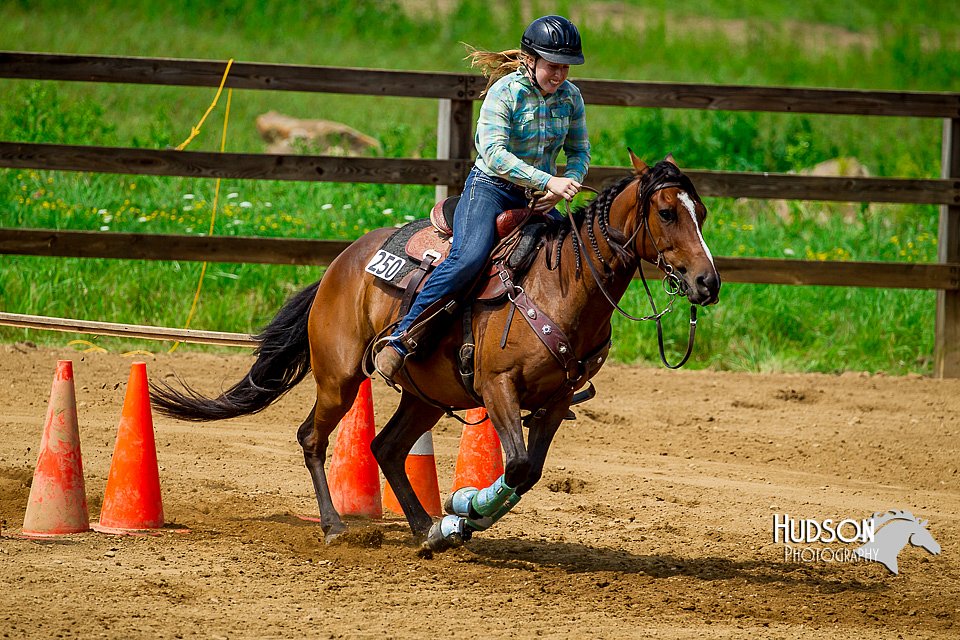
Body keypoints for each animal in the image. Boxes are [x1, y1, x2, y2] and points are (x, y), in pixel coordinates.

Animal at [150, 150, 720, 552]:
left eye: (703, 212)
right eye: (666, 212)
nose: (707, 282)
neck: (559, 284)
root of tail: (339, 264)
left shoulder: (555, 402)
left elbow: (529, 472)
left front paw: (461, 515)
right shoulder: (497, 387)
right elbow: (515, 467)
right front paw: (465, 505)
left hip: (425, 395)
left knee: (386, 447)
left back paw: (428, 527)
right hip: (338, 379)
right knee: (312, 437)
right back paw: (337, 527)